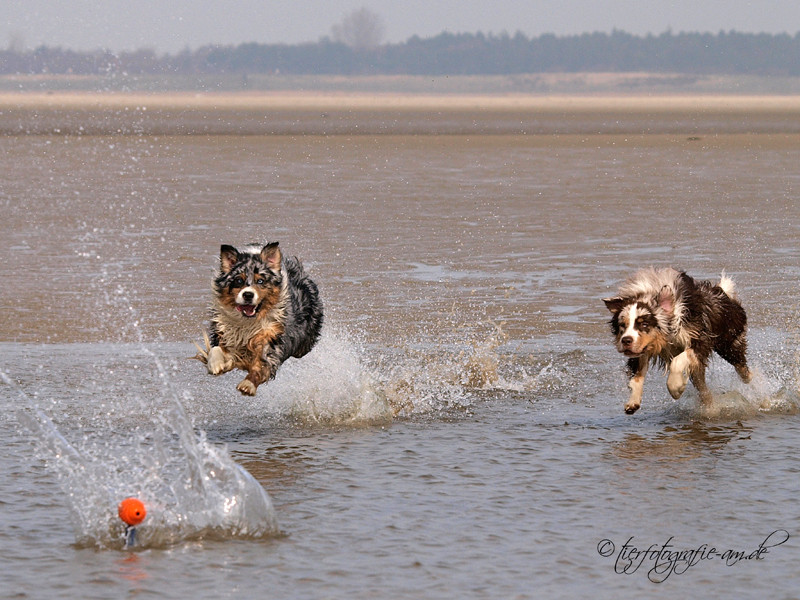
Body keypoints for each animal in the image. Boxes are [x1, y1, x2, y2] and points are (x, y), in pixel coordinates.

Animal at [194, 241, 322, 396]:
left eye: (260, 281)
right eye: (238, 280)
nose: (248, 295)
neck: (247, 323)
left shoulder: (271, 341)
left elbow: (261, 365)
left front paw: (248, 384)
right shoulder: (225, 334)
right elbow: (216, 349)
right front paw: (215, 364)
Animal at [608, 270, 752, 414]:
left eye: (644, 324)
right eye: (622, 325)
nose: (626, 340)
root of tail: (722, 292)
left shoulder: (700, 339)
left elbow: (677, 362)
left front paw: (676, 388)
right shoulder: (642, 349)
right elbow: (637, 375)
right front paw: (633, 402)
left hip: (729, 343)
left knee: (742, 369)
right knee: (702, 387)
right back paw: (710, 407)